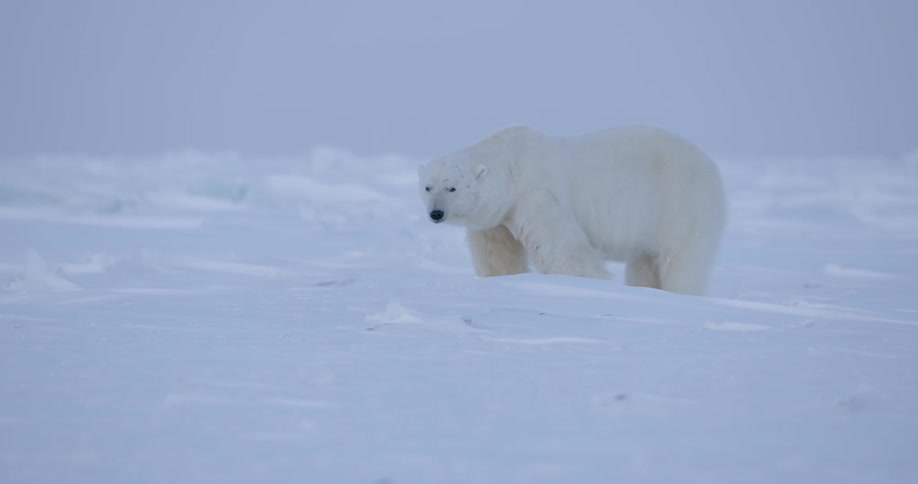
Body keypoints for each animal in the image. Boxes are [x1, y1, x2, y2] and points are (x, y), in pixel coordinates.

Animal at [417, 125, 727, 296]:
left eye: (452, 187)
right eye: (428, 187)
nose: (436, 214)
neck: (511, 164)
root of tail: (711, 165)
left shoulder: (536, 193)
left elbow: (563, 249)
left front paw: (589, 283)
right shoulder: (497, 218)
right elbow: (498, 255)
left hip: (681, 201)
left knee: (682, 260)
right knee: (646, 263)